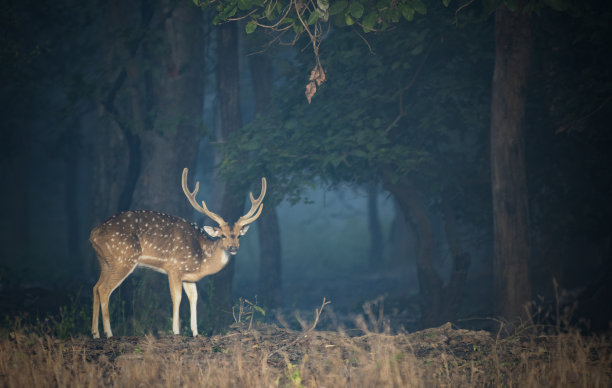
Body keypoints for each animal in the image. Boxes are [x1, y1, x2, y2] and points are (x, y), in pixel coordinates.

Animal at [89, 168, 266, 338]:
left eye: (239, 235)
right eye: (222, 235)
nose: (233, 248)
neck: (202, 259)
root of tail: (93, 234)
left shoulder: (189, 277)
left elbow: (193, 299)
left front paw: (196, 333)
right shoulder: (174, 268)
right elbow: (177, 297)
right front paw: (176, 331)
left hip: (105, 261)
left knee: (95, 287)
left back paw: (95, 333)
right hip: (123, 258)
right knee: (104, 289)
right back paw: (109, 333)